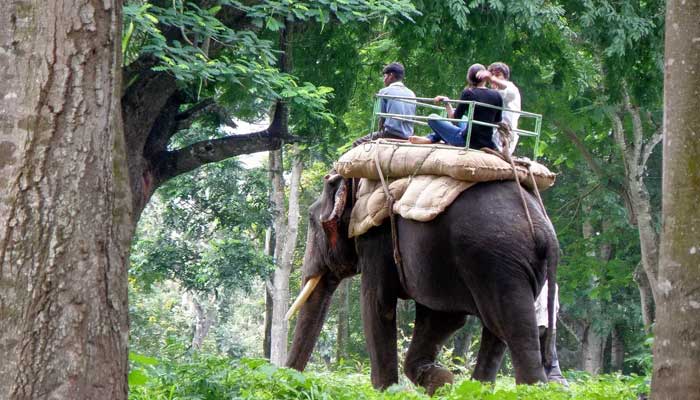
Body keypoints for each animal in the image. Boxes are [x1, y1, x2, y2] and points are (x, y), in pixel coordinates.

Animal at [286, 173, 558, 394]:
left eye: (311, 220)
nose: (290, 380)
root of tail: (546, 231)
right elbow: (442, 318)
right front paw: (443, 382)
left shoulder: (376, 239)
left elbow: (377, 306)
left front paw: (388, 391)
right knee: (498, 333)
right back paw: (478, 389)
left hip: (496, 262)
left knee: (513, 330)